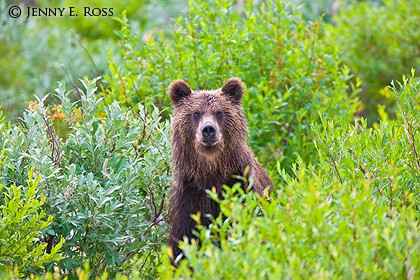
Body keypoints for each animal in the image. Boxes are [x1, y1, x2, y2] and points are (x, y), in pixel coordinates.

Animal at [167, 77, 272, 262]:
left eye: (219, 112)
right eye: (196, 113)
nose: (208, 129)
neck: (211, 173)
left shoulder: (240, 188)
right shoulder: (189, 197)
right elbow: (183, 247)